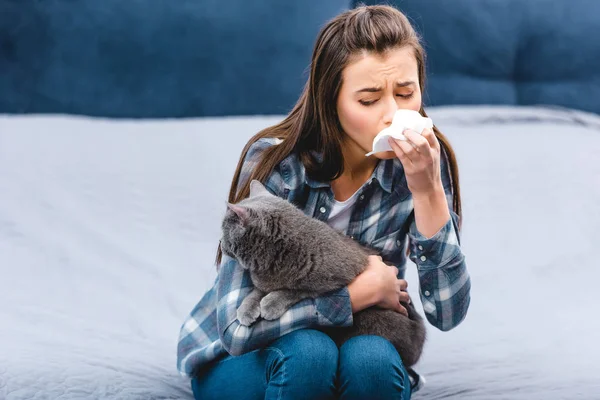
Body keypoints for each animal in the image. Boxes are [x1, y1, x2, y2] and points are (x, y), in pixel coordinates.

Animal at [221, 180, 426, 368]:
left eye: (224, 232)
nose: (221, 244)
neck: (273, 259)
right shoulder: (262, 283)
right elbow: (253, 293)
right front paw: (246, 311)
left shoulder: (336, 277)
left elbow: (297, 290)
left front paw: (271, 303)